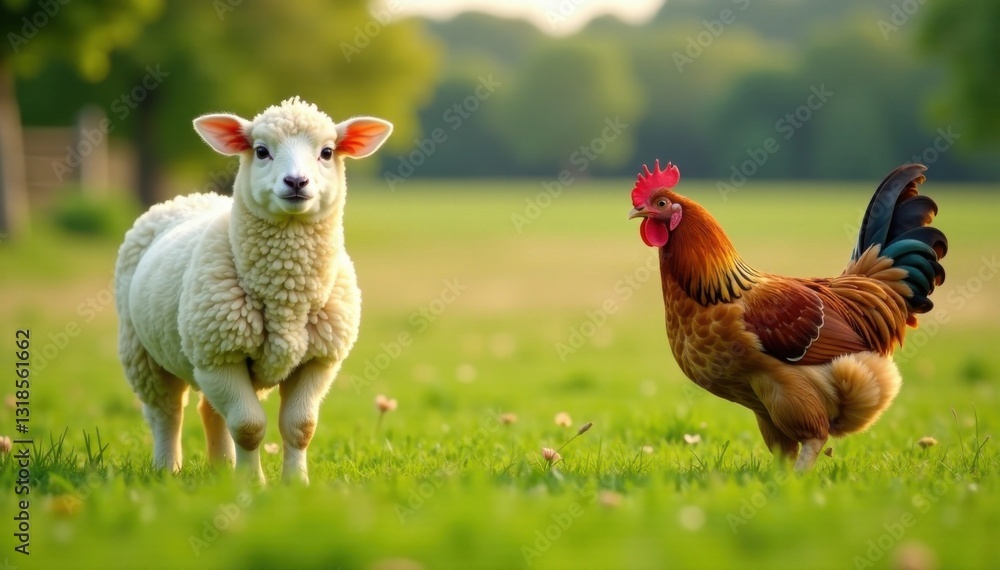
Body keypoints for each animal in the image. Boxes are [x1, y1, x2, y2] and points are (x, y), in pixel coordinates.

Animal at [114, 97, 392, 484]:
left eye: (327, 152)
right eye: (261, 151)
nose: (296, 181)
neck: (287, 294)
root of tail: (190, 198)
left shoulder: (319, 360)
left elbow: (300, 427)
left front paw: (295, 484)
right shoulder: (219, 356)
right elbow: (248, 427)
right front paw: (252, 485)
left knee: (210, 411)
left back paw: (221, 470)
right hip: (142, 351)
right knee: (166, 413)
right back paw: (167, 469)